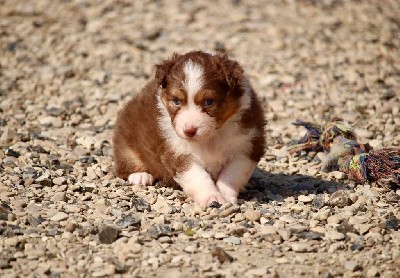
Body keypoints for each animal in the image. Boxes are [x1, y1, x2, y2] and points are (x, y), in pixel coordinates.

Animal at [113, 50, 266, 206]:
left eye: (209, 102)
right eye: (176, 101)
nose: (189, 131)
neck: (211, 137)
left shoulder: (248, 147)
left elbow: (231, 175)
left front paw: (225, 195)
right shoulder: (177, 152)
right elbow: (198, 177)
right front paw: (212, 198)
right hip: (126, 140)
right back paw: (140, 176)